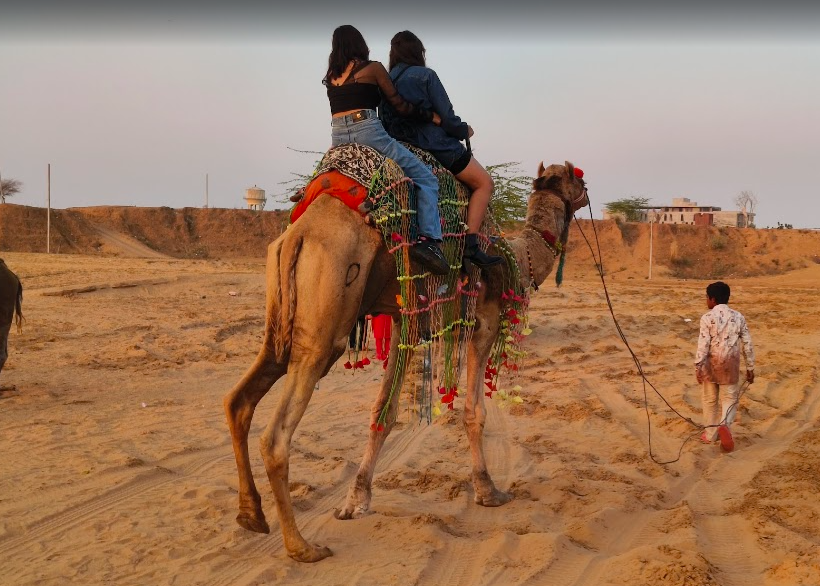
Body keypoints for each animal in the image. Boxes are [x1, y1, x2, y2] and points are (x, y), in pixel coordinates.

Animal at [223, 161, 589, 562]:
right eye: (579, 180)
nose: (588, 196)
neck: (515, 257)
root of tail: (297, 236)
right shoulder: (484, 321)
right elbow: (474, 412)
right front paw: (487, 490)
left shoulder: (406, 319)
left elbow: (383, 410)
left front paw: (355, 501)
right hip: (326, 321)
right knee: (276, 435)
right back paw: (302, 547)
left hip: (281, 319)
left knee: (239, 400)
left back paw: (251, 515)